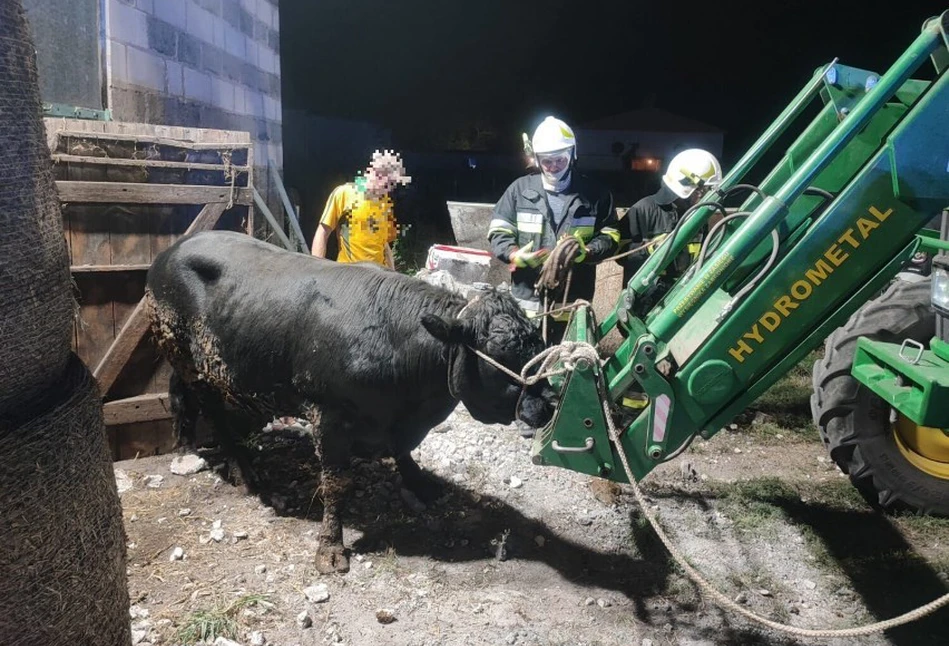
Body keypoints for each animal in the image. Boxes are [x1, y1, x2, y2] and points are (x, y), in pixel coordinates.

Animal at [143, 232, 552, 572]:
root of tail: (170, 251)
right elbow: (335, 484)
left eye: (538, 342)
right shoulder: (329, 415)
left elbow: (404, 451)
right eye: (499, 352)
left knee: (179, 393)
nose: (547, 404)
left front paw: (420, 483)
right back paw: (242, 470)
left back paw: (185, 446)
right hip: (189, 357)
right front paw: (330, 547)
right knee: (211, 411)